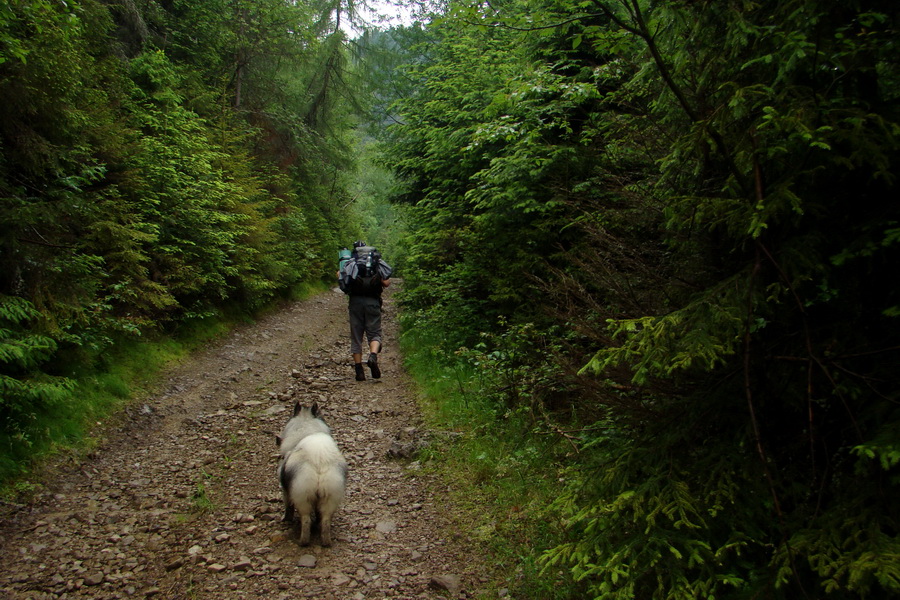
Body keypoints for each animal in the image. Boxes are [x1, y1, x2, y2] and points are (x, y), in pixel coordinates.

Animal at [274, 400, 348, 548]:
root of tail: (319, 464)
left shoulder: (285, 490)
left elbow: (288, 507)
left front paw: (286, 519)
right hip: (330, 496)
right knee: (325, 520)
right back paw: (325, 541)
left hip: (303, 496)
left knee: (306, 519)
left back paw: (303, 542)